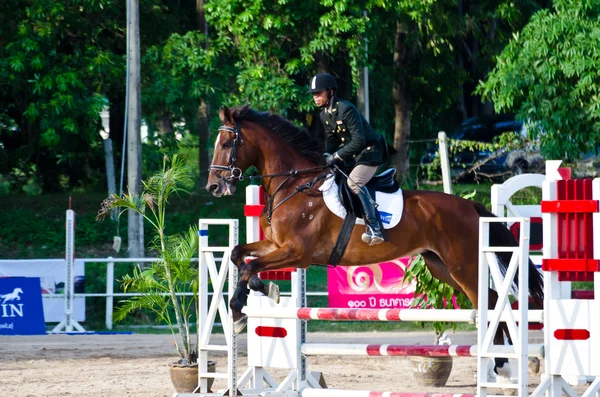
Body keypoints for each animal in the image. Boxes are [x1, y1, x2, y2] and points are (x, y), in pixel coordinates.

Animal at [205, 104, 544, 378]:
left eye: (227, 143)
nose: (213, 187)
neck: (294, 185)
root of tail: (470, 206)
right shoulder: (276, 246)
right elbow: (238, 255)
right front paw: (263, 292)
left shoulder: (297, 254)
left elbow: (250, 266)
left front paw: (239, 312)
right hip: (441, 267)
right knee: (490, 297)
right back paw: (501, 363)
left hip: (463, 266)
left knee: (489, 301)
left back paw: (500, 363)